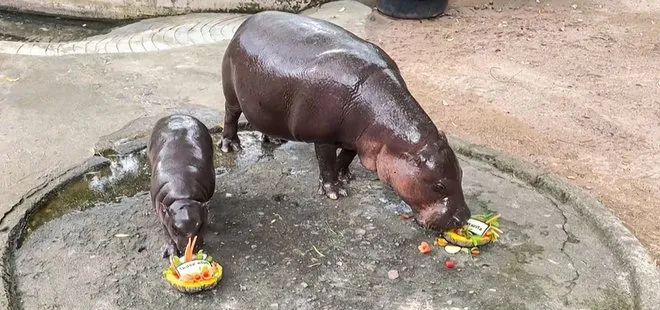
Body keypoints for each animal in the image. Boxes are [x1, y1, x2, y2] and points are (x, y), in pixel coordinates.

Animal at [146, 114, 214, 256]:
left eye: (200, 225)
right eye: (175, 228)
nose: (191, 249)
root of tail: (177, 114)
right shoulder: (163, 212)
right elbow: (166, 231)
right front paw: (171, 253)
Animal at [222, 10, 474, 231]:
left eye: (461, 174)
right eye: (439, 186)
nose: (463, 218)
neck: (392, 135)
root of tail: (246, 22)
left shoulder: (358, 138)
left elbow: (346, 156)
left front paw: (346, 176)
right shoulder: (323, 137)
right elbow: (326, 163)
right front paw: (335, 192)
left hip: (265, 102)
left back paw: (274, 140)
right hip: (231, 94)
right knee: (230, 116)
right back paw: (230, 146)